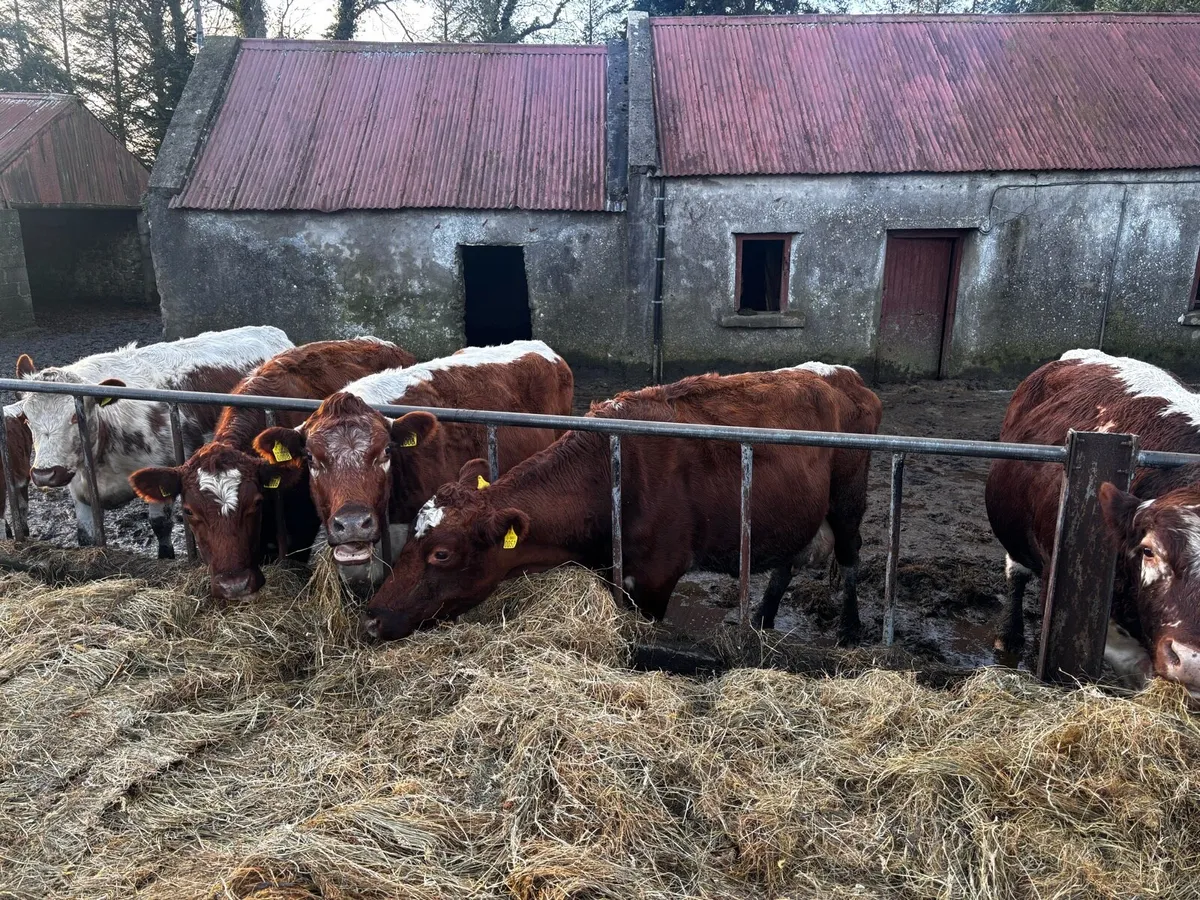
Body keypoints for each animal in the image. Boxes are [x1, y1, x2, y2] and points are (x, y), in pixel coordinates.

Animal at [16, 325, 293, 557]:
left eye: (75, 416)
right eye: (27, 419)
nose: (45, 474)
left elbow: (160, 526)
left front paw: (166, 557)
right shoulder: (80, 488)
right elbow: (85, 535)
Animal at [358, 362, 883, 643]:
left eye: (442, 553)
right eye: (409, 541)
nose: (373, 616)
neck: (609, 472)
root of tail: (847, 375)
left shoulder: (655, 577)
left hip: (849, 496)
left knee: (850, 554)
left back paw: (850, 628)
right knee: (787, 559)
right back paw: (763, 617)